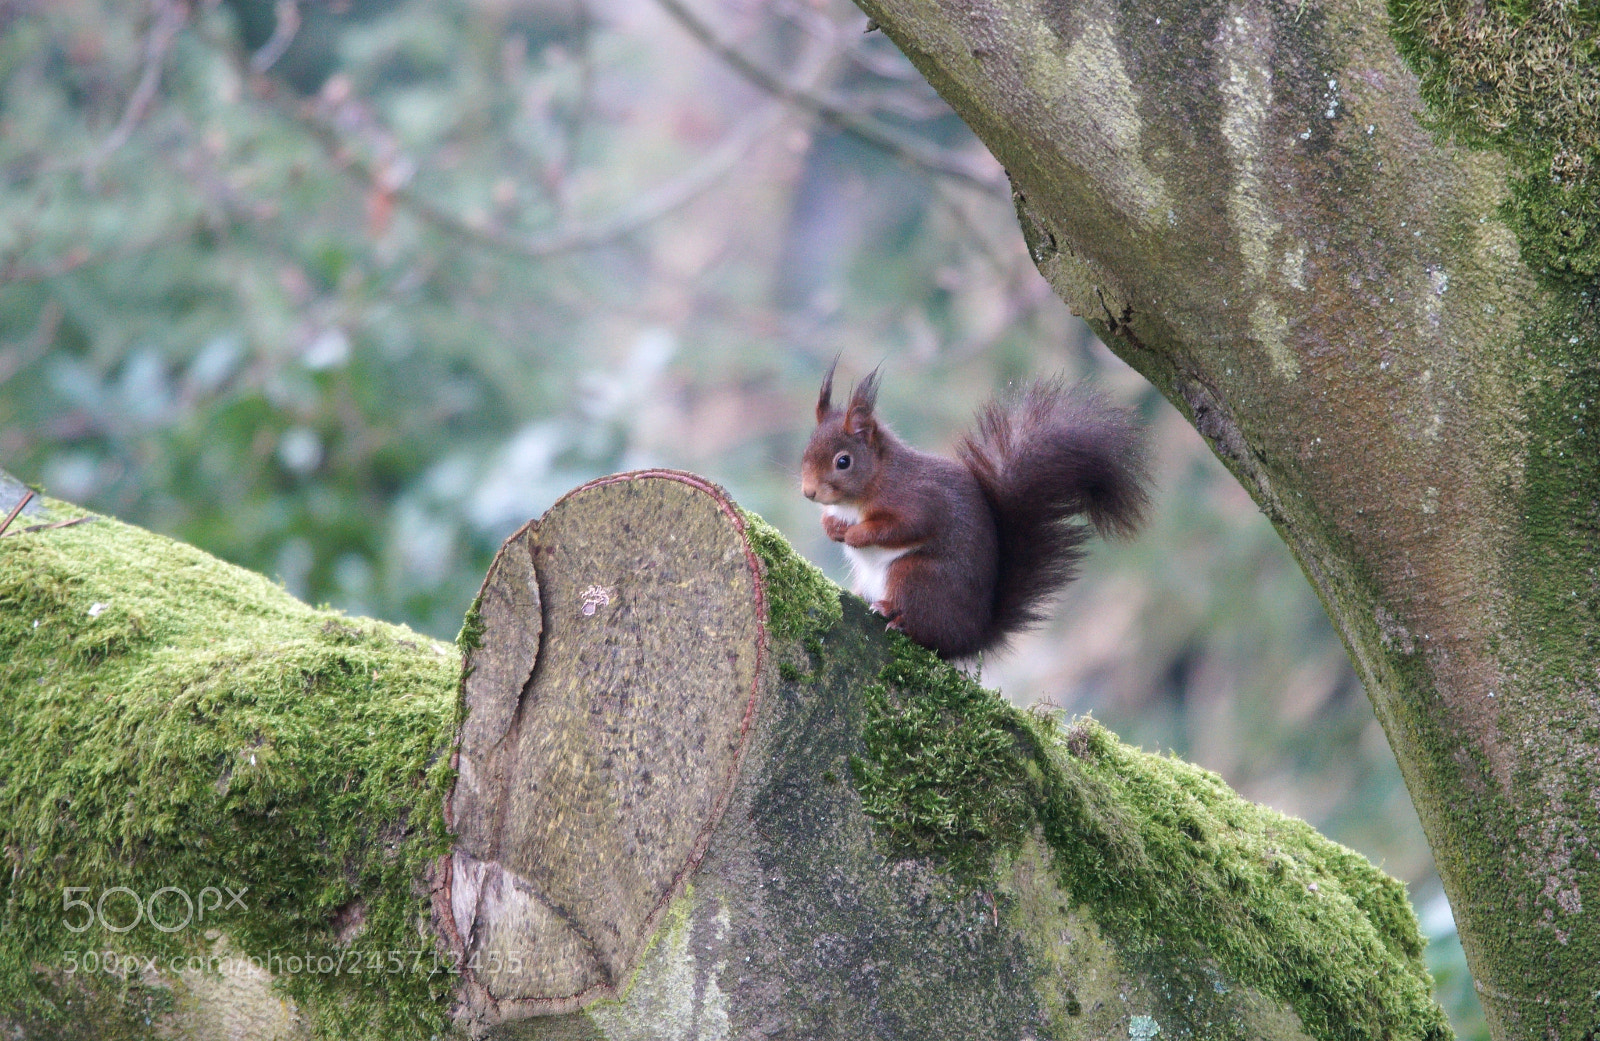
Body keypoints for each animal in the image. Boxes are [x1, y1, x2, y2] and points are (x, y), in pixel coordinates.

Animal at [800, 363, 1150, 659]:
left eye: (843, 461)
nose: (808, 492)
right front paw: (833, 528)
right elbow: (831, 519)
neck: (867, 489)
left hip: (916, 575)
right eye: (806, 450)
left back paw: (894, 615)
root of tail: (971, 637)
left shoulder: (918, 500)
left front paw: (857, 535)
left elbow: (903, 527)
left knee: (929, 631)